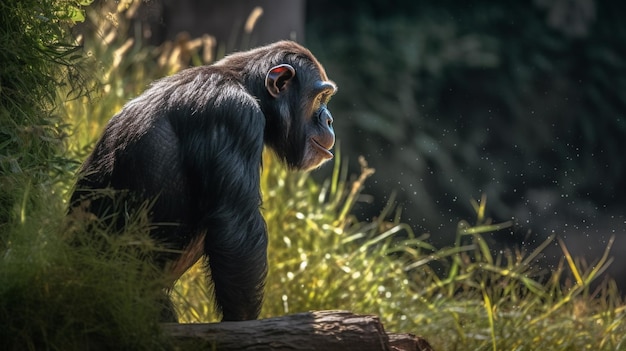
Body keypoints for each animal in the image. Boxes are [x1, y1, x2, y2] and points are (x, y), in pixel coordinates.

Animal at [69, 41, 336, 322]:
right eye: (320, 98)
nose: (328, 119)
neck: (246, 85)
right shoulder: (235, 115)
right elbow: (237, 227)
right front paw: (240, 322)